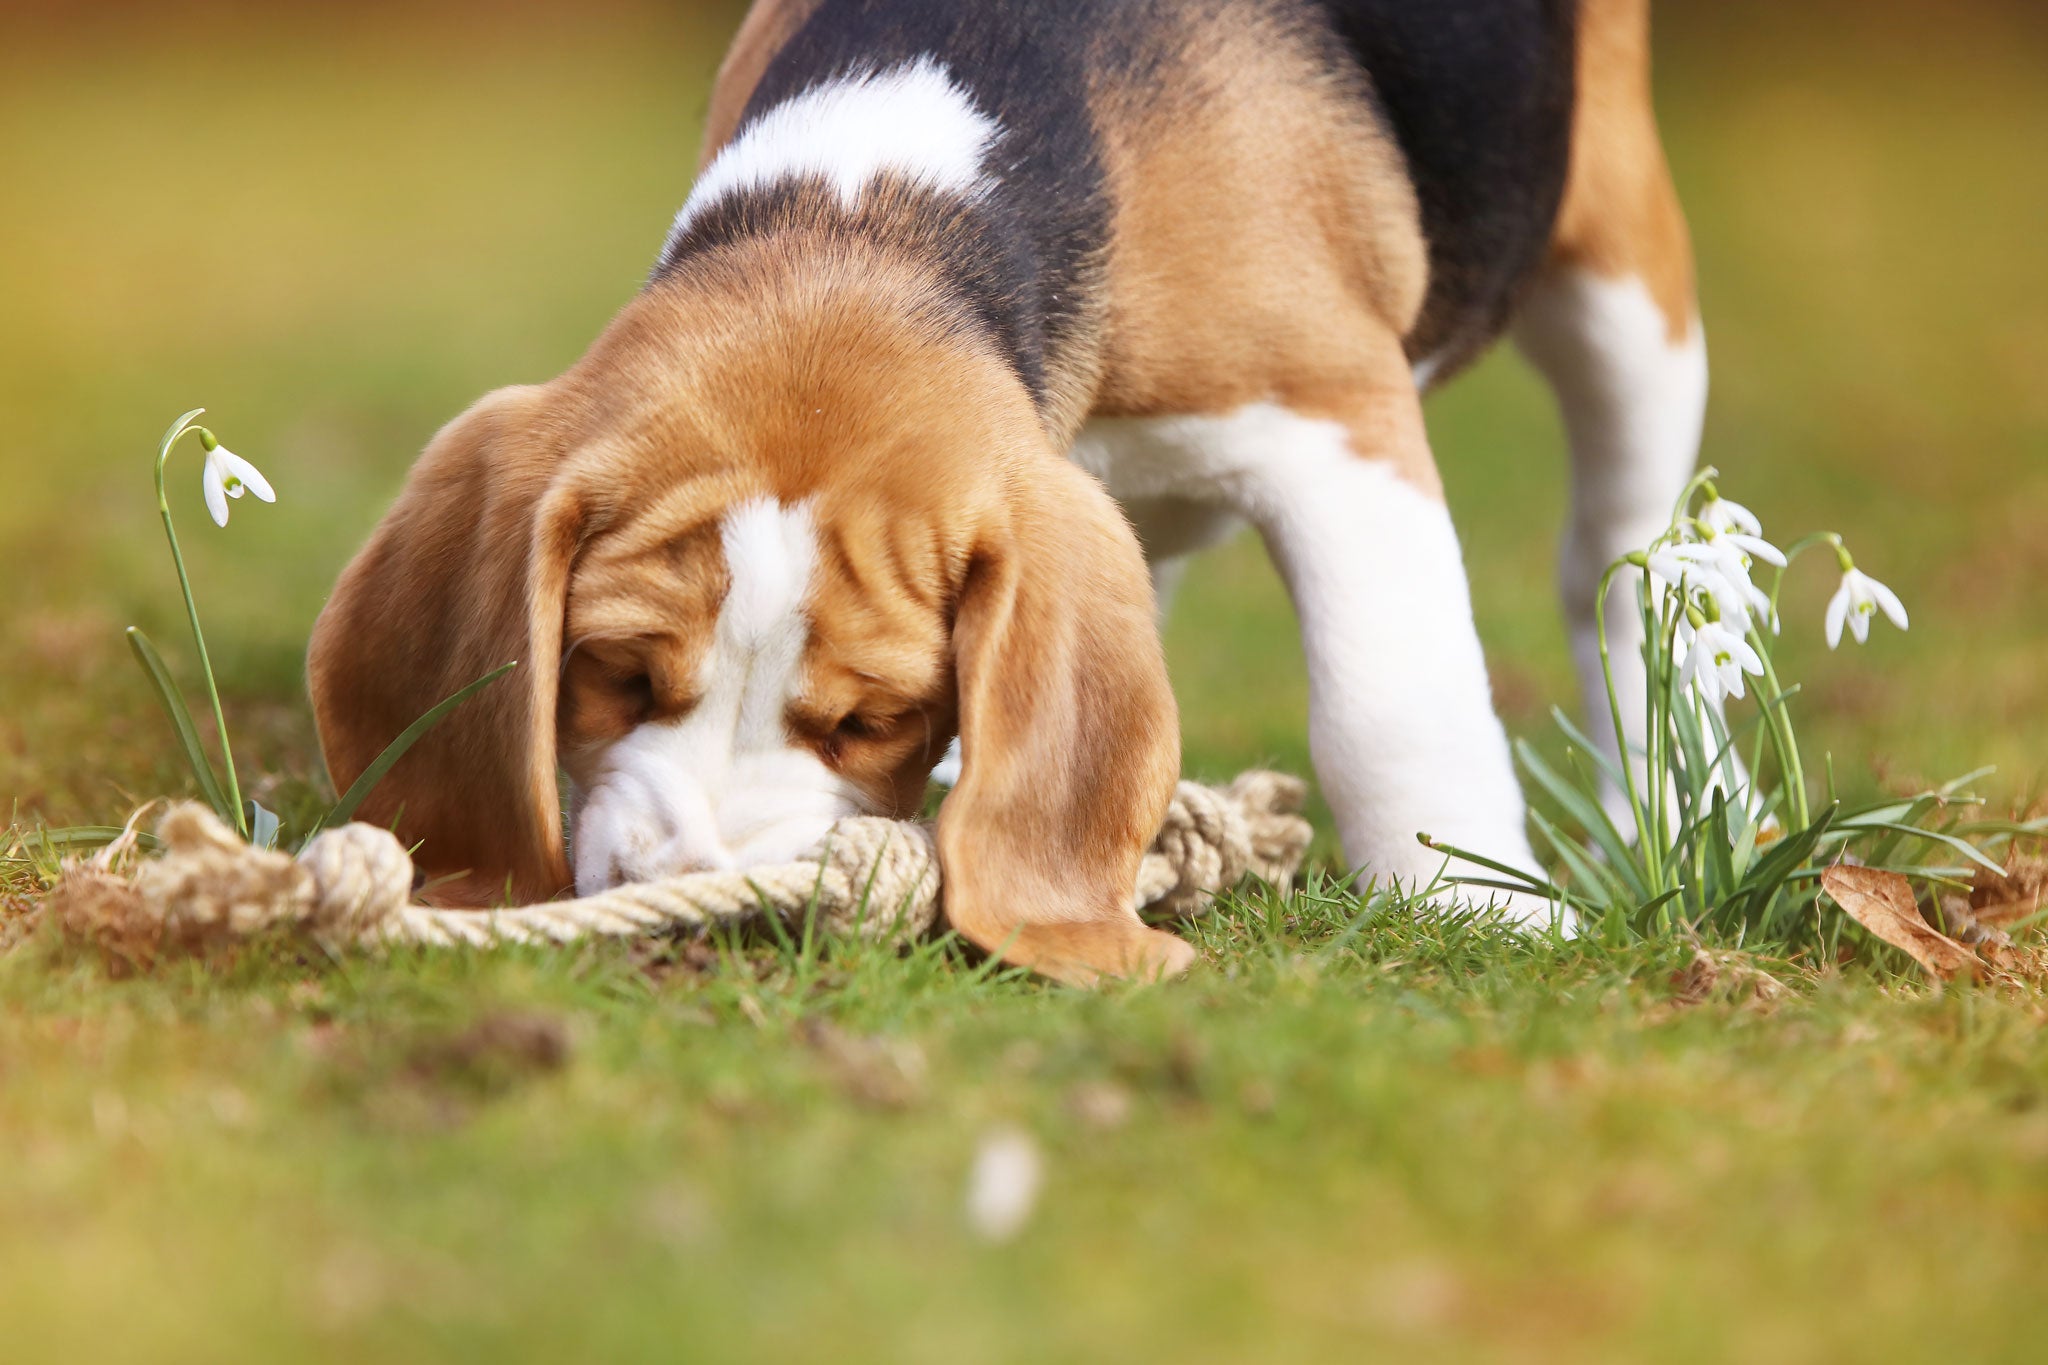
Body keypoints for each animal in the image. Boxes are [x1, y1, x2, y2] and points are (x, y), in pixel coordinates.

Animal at [307, 0, 1712, 982]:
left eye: (872, 720)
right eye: (611, 673)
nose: (721, 905)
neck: (874, 214)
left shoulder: (1332, 423)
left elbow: (1392, 707)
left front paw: (1478, 904)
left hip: (1622, 279)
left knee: (1627, 567)